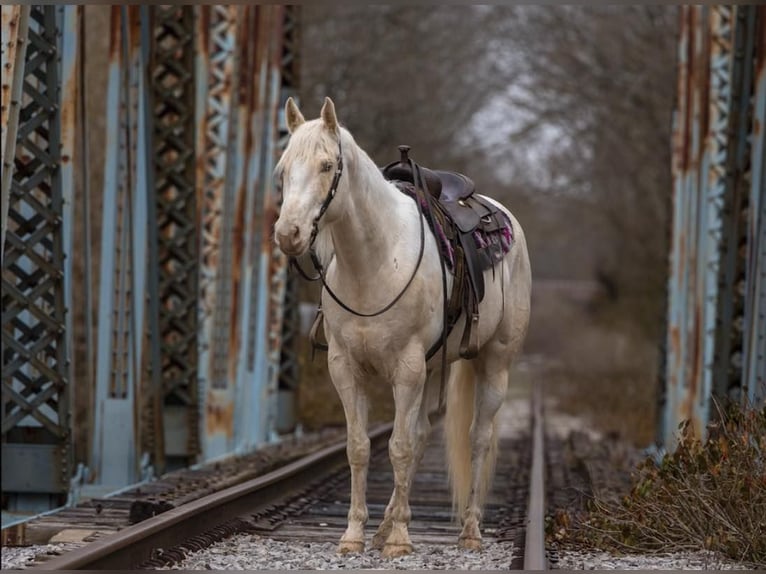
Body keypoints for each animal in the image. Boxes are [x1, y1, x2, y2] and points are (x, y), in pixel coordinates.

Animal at [276, 98, 536, 560]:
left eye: (327, 165)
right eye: (283, 169)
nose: (288, 234)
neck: (373, 262)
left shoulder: (407, 368)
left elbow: (398, 447)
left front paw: (398, 540)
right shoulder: (346, 368)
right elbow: (361, 448)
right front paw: (356, 534)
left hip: (494, 363)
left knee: (477, 438)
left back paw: (469, 531)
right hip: (431, 369)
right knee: (422, 434)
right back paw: (386, 525)